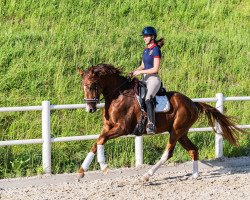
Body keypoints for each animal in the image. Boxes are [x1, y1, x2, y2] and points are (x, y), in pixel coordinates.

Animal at [77, 63, 245, 182]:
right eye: (82, 86)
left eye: (92, 85)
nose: (90, 108)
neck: (118, 95)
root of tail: (192, 103)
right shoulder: (108, 126)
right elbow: (97, 142)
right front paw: (81, 171)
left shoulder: (122, 128)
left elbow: (101, 140)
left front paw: (104, 166)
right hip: (181, 132)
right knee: (193, 150)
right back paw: (195, 175)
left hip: (176, 131)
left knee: (168, 153)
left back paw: (146, 176)